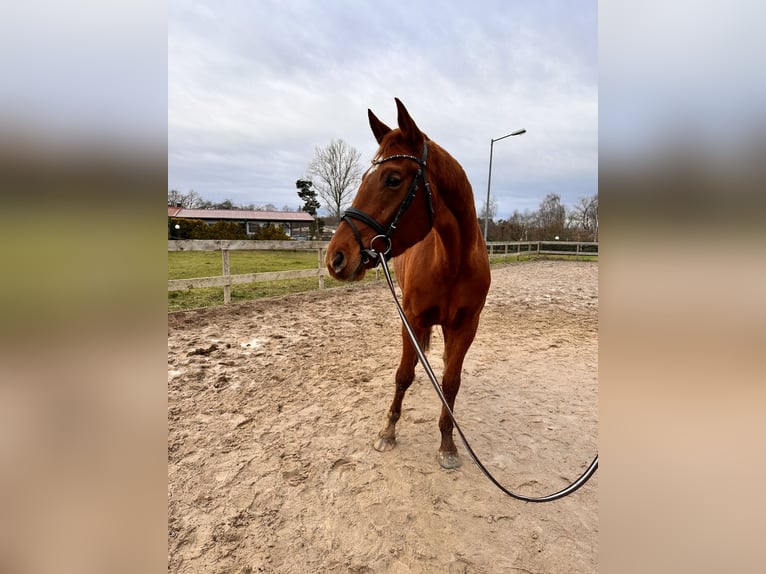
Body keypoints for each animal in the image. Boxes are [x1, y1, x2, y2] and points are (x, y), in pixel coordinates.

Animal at [326, 97, 492, 470]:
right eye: (364, 177)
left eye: (392, 178)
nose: (336, 257)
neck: (452, 262)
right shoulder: (411, 319)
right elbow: (403, 374)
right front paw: (387, 432)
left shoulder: (466, 327)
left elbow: (450, 382)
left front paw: (448, 443)